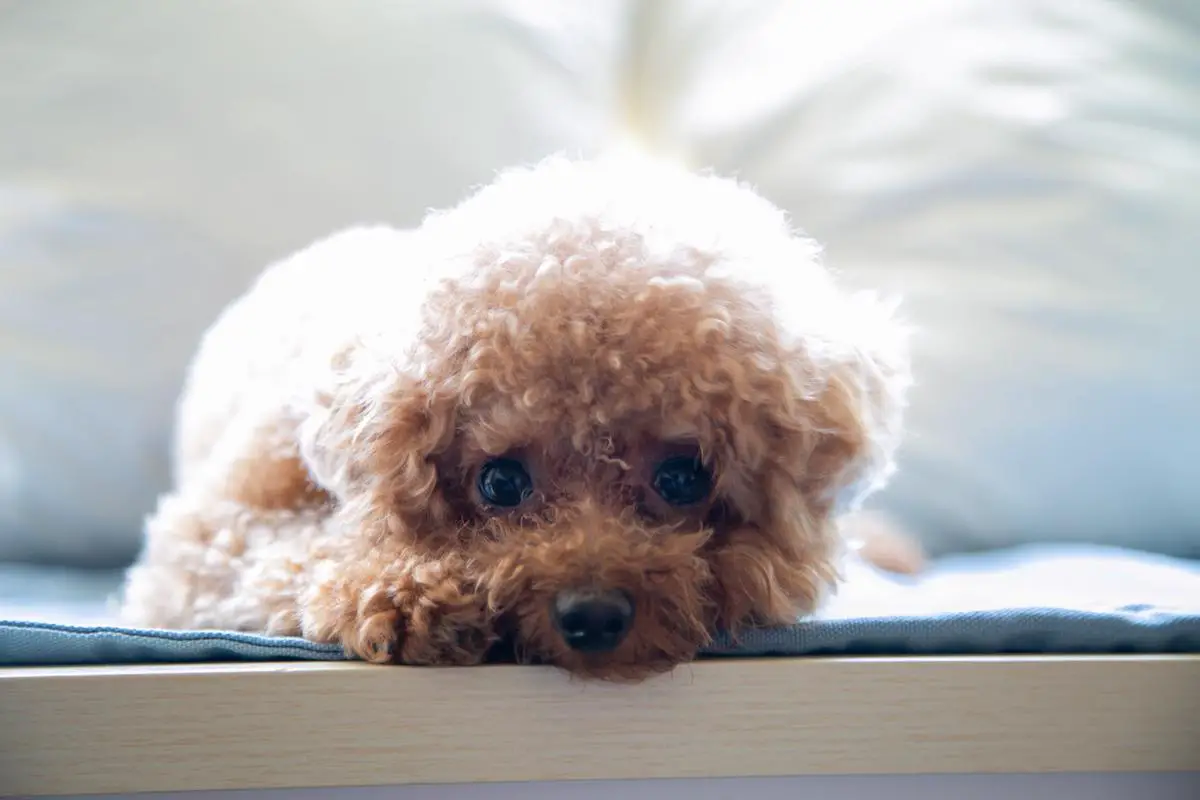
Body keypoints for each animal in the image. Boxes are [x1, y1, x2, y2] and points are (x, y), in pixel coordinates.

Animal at [119, 158, 907, 681]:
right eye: (500, 483)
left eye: (684, 478)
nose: (593, 616)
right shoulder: (203, 540)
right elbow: (286, 552)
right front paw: (401, 592)